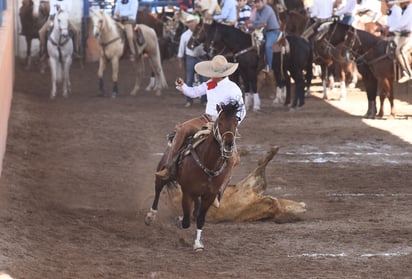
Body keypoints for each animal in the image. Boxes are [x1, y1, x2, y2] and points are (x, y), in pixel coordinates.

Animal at [146, 101, 240, 253]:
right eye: (220, 122)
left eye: (236, 122)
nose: (228, 144)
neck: (209, 163)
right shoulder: (187, 193)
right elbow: (185, 221)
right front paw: (179, 221)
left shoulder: (210, 196)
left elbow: (201, 219)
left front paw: (198, 244)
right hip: (162, 172)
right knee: (158, 189)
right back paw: (150, 216)